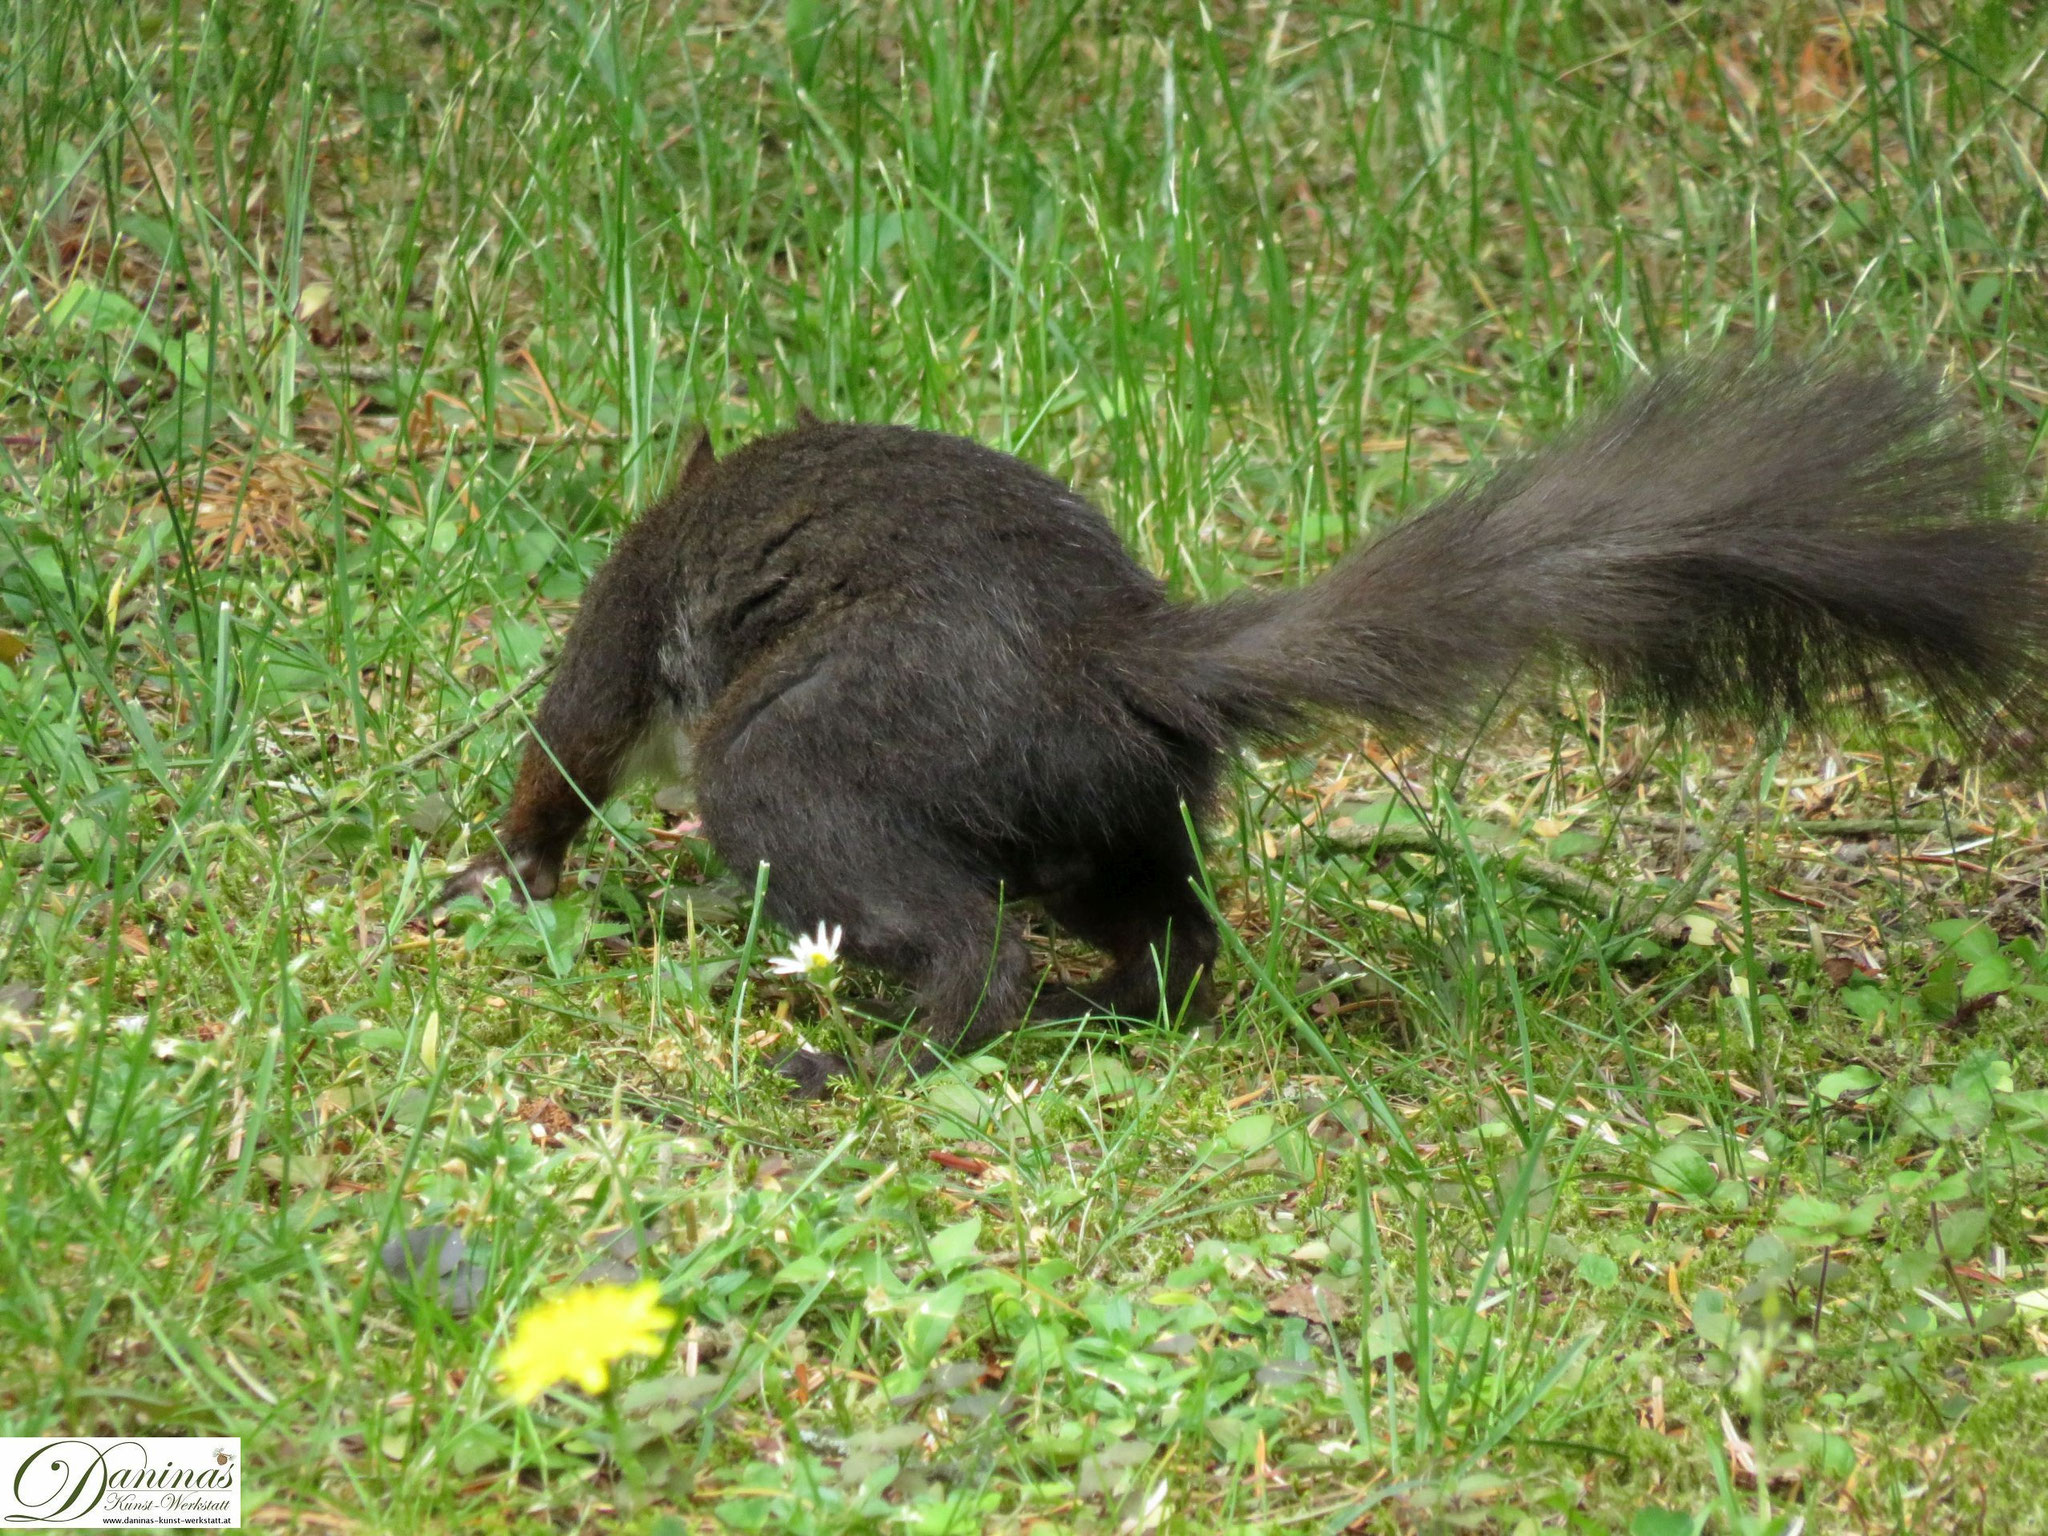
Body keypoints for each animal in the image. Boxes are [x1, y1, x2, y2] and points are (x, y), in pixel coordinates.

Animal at [441, 357, 2048, 1094]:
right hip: (1109, 820)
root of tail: (1109, 662)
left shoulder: (623, 629)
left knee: (972, 949)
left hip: (808, 761)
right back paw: (1092, 1011)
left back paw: (879, 1053)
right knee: (1168, 944)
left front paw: (499, 875)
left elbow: (563, 751)